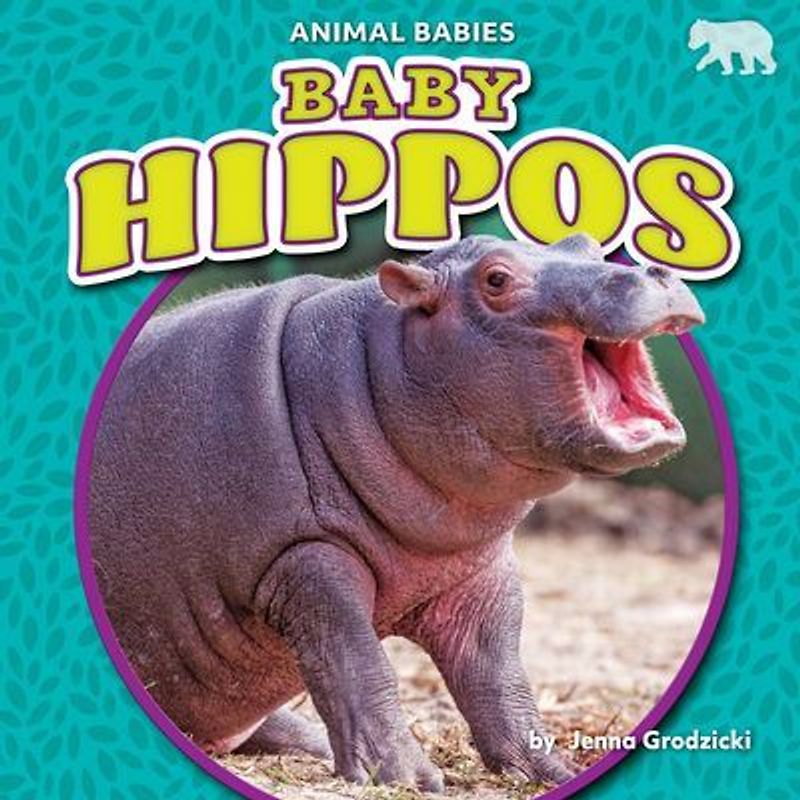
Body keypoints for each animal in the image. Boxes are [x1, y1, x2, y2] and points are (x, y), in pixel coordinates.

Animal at [89, 233, 704, 791]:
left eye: (587, 243)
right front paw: (410, 779)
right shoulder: (303, 559)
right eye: (496, 279)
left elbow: (499, 677)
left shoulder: (481, 572)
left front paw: (551, 771)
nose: (653, 271)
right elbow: (357, 664)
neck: (377, 365)